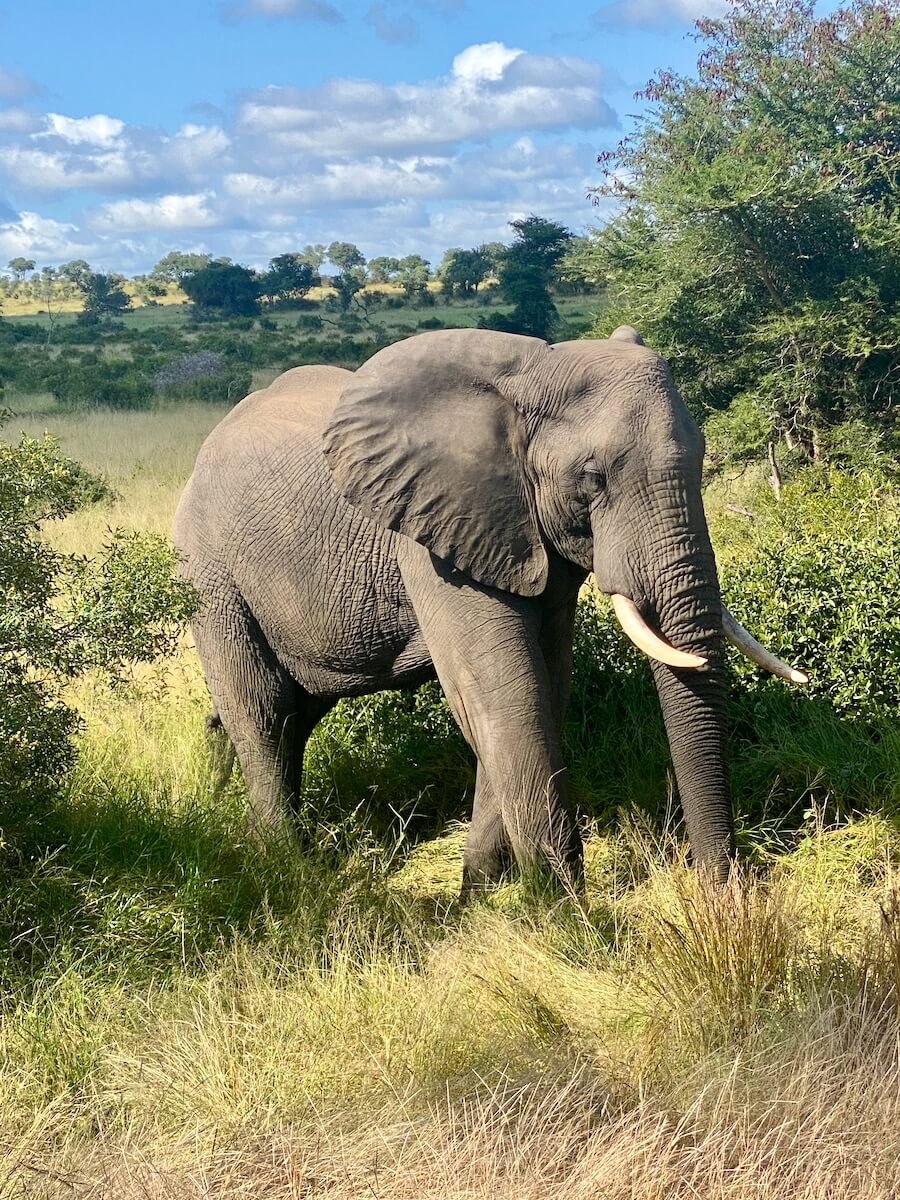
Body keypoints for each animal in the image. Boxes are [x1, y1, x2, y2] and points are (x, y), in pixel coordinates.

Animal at [173, 326, 805, 892]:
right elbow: (507, 693)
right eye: (593, 478)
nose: (722, 893)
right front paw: (560, 912)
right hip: (208, 573)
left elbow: (545, 687)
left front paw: (479, 892)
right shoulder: (433, 534)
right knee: (263, 711)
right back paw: (289, 869)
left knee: (293, 717)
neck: (532, 373)